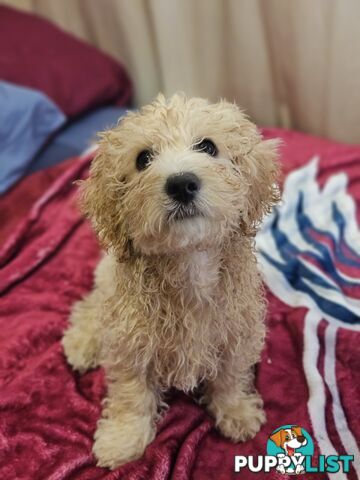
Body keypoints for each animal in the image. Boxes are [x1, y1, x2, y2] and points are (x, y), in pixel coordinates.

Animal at [62, 94, 282, 468]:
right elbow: (131, 394)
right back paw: (83, 342)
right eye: (143, 159)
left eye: (208, 146)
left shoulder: (237, 333)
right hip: (107, 284)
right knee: (92, 305)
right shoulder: (130, 342)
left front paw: (236, 411)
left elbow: (229, 376)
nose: (181, 183)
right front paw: (122, 439)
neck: (188, 262)